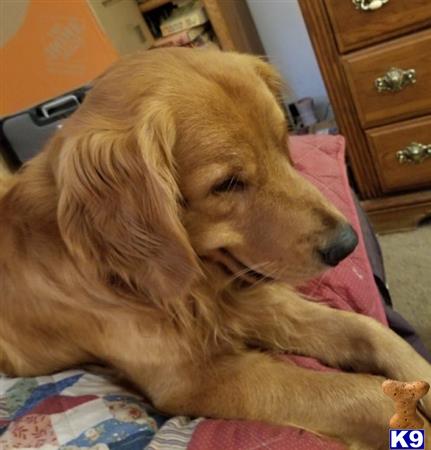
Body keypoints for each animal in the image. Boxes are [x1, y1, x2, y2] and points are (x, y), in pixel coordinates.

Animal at [0, 47, 430, 448]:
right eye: (227, 184)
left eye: (283, 142)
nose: (347, 244)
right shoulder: (192, 378)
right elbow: (360, 395)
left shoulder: (264, 303)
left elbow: (372, 332)